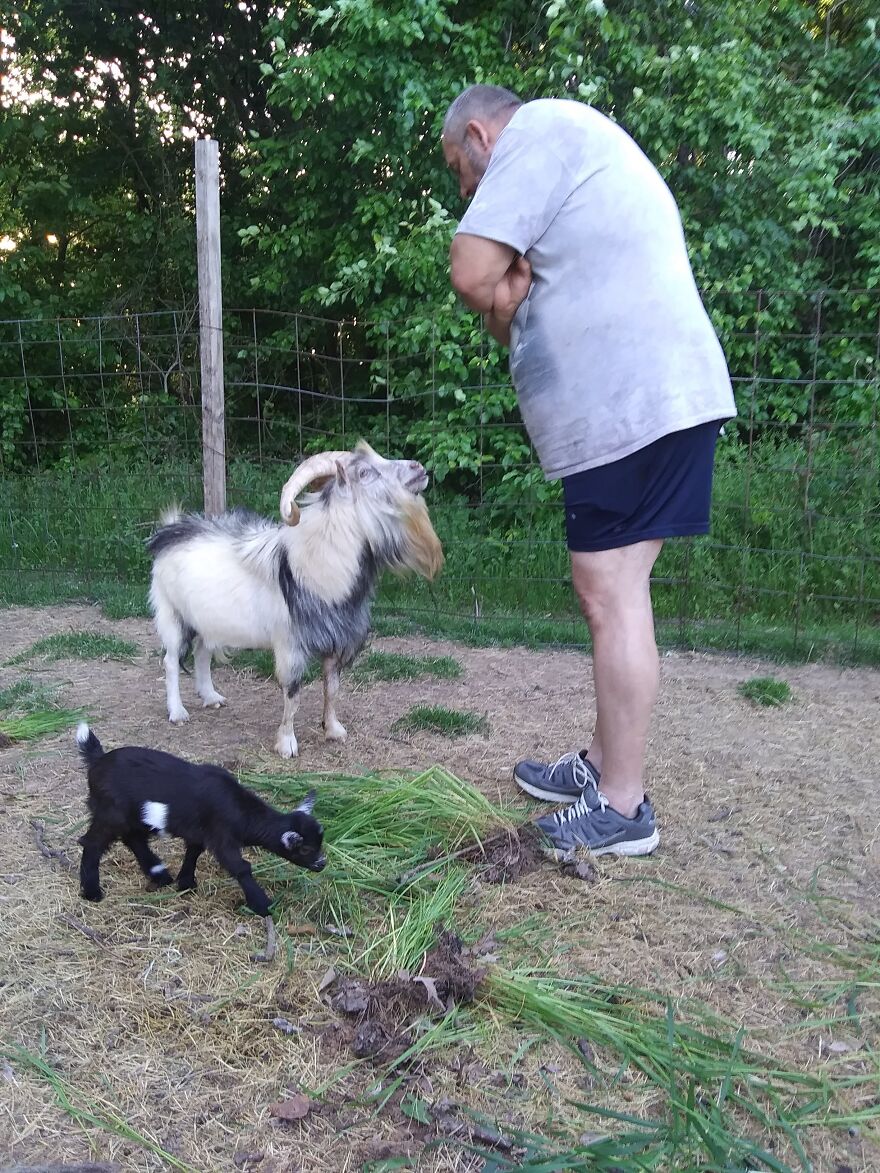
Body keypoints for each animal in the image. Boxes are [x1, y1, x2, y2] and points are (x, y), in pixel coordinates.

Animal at [75, 723, 325, 916]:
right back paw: (92, 892)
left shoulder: (200, 832)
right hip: (111, 812)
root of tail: (97, 760)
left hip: (134, 817)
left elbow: (193, 852)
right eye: (305, 849)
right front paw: (264, 905)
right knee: (93, 842)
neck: (239, 809)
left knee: (133, 839)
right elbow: (240, 867)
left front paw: (185, 883)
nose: (322, 864)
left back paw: (160, 874)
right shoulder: (222, 836)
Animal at [147, 441, 443, 757]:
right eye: (364, 472)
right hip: (171, 614)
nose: (417, 467)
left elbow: (332, 687)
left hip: (208, 621)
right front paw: (287, 744)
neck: (314, 566)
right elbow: (292, 693)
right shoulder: (290, 645)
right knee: (170, 661)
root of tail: (169, 533)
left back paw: (211, 697)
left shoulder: (336, 641)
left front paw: (333, 730)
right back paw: (177, 712)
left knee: (202, 652)